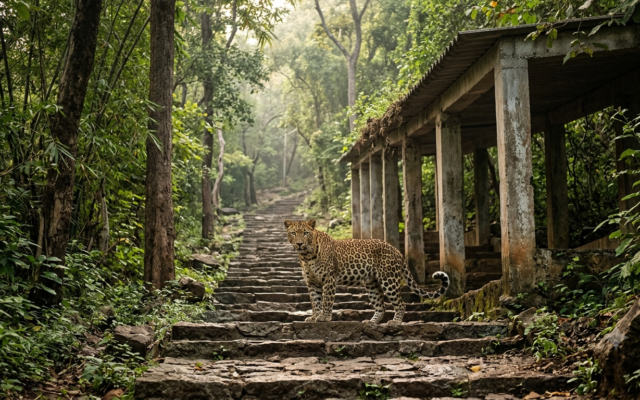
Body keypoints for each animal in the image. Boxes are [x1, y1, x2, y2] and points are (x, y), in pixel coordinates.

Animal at [284, 219, 450, 325]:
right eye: (293, 233)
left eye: (306, 233)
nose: (299, 244)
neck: (306, 256)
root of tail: (397, 251)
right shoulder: (312, 282)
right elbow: (315, 301)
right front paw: (314, 317)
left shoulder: (329, 279)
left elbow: (326, 301)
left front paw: (324, 317)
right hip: (372, 284)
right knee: (380, 307)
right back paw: (370, 322)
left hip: (388, 280)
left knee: (401, 303)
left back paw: (395, 322)